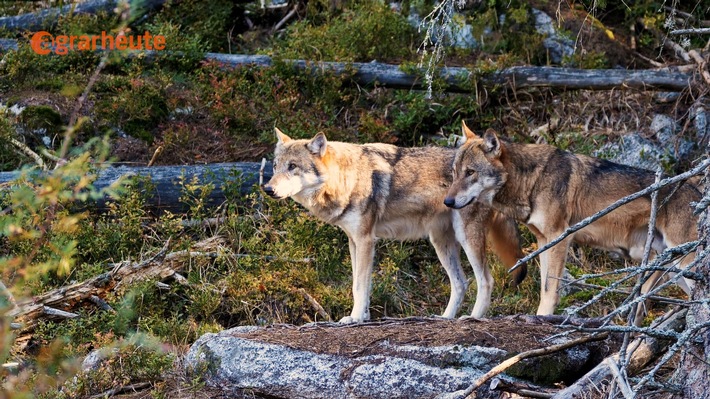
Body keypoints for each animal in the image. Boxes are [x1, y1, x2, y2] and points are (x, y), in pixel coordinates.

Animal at [264, 129, 524, 324]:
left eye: (293, 166)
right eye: (275, 166)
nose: (267, 189)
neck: (346, 179)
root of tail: (500, 175)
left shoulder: (366, 240)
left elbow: (359, 286)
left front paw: (354, 317)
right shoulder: (354, 242)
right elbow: (361, 286)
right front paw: (363, 316)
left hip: (466, 238)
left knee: (485, 280)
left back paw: (473, 317)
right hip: (440, 243)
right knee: (460, 283)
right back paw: (444, 318)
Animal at [444, 122, 700, 324]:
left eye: (470, 172)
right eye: (454, 173)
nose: (447, 201)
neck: (531, 181)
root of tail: (697, 193)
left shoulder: (559, 237)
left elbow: (550, 289)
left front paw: (543, 318)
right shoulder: (543, 241)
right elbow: (544, 286)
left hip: (685, 263)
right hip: (670, 265)